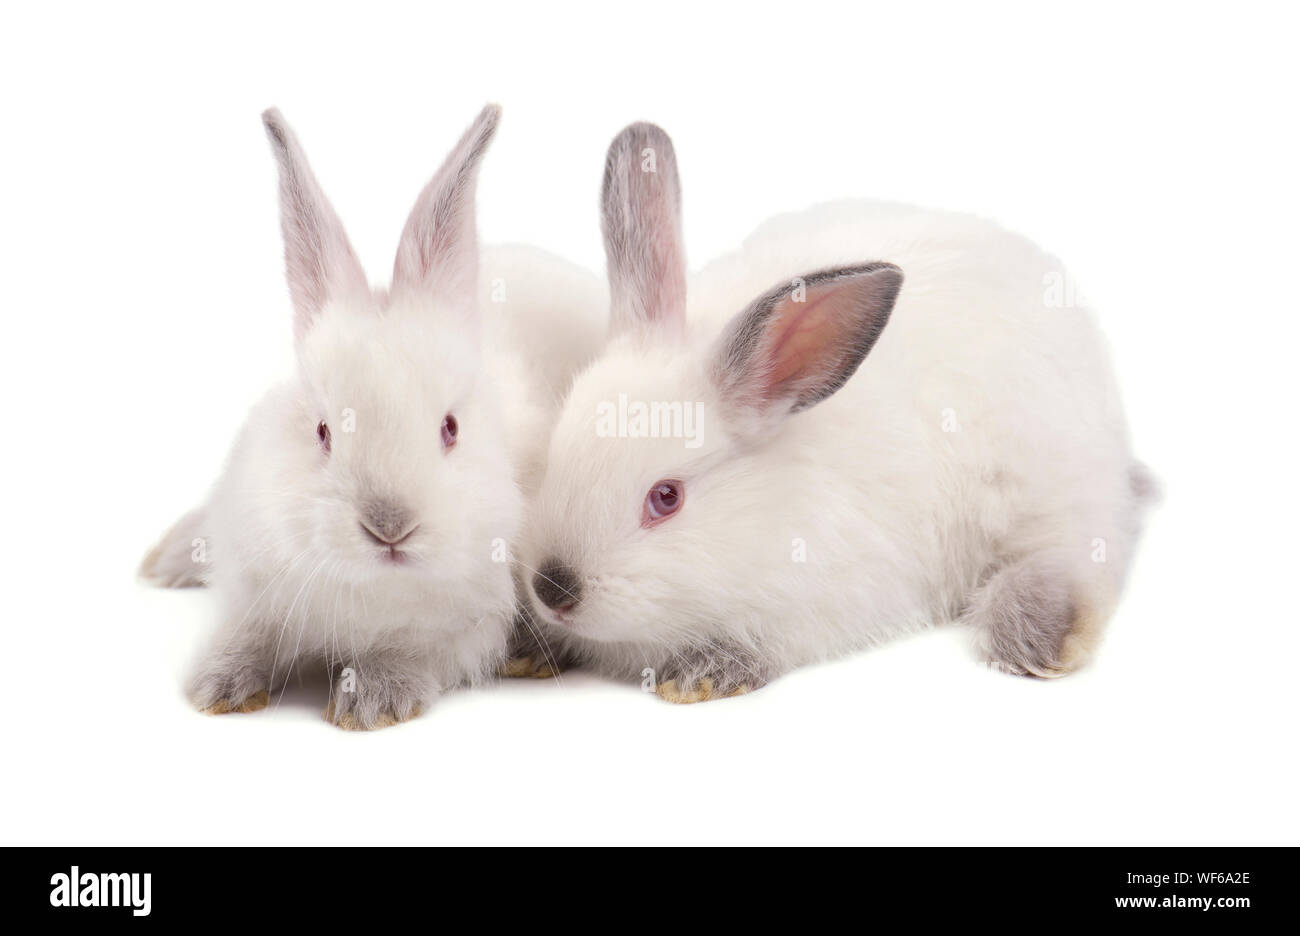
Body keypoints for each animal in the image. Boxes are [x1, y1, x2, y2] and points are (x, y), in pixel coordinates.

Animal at [149, 103, 609, 730]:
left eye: (450, 429)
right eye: (322, 431)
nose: (390, 527)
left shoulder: (466, 626)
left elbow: (413, 651)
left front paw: (370, 699)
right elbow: (250, 632)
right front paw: (217, 684)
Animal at [510, 122, 1156, 702]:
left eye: (666, 498)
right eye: (554, 454)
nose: (554, 588)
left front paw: (705, 673)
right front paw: (528, 651)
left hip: (1048, 491)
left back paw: (1040, 637)